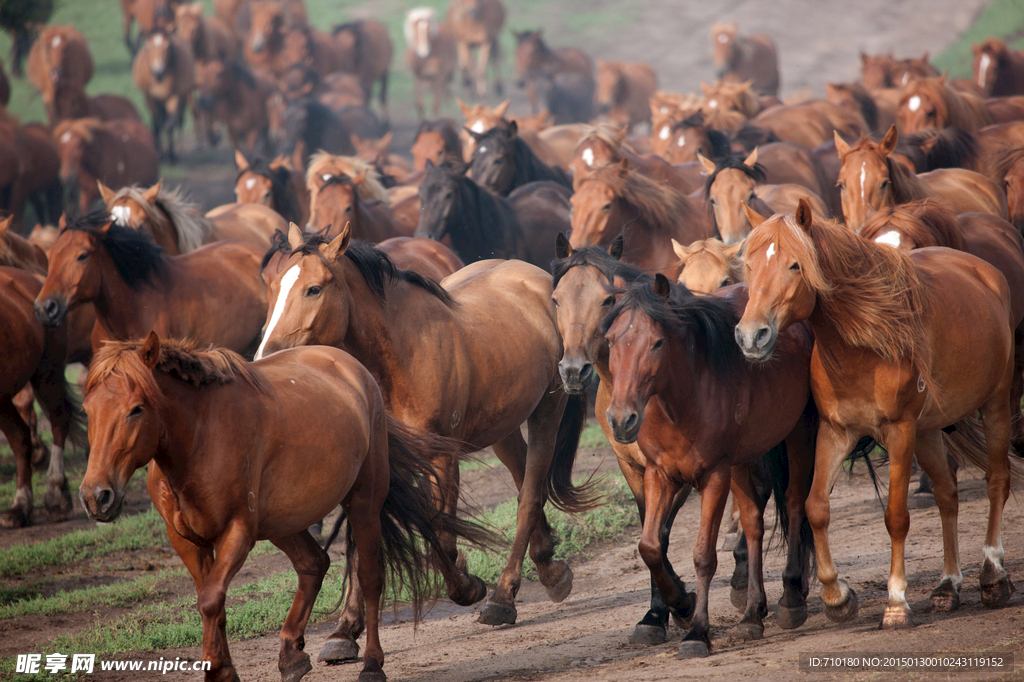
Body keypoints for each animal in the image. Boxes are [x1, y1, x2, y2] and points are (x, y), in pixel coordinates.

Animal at [80, 331, 495, 682]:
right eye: (87, 409)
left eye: (136, 409)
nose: (96, 495)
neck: (200, 437)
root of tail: (353, 368)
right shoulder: (187, 541)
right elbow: (211, 602)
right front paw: (226, 667)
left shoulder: (238, 531)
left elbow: (211, 600)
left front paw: (220, 671)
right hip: (284, 522)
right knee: (314, 564)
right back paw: (292, 655)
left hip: (363, 502)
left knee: (370, 578)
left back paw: (371, 664)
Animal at [133, 30, 195, 163]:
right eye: (148, 47)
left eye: (167, 46)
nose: (158, 72)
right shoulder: (151, 98)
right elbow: (158, 124)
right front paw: (160, 154)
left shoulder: (174, 97)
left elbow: (169, 125)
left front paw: (171, 155)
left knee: (174, 121)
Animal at [255, 225, 592, 657]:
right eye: (276, 285)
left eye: (313, 289)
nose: (265, 357)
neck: (401, 355)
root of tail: (536, 277)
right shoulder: (374, 465)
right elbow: (360, 544)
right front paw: (344, 631)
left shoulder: (441, 460)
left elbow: (440, 537)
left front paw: (468, 586)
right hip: (502, 427)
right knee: (522, 484)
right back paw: (549, 567)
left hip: (547, 411)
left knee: (530, 497)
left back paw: (503, 597)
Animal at [603, 271, 814, 657]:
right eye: (611, 341)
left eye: (657, 343)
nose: (621, 419)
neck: (684, 399)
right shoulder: (659, 475)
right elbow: (650, 546)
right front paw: (680, 605)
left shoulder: (714, 476)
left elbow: (704, 555)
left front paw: (698, 631)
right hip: (742, 461)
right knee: (753, 521)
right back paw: (752, 614)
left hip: (798, 432)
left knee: (794, 503)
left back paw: (791, 597)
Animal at [736, 200, 1020, 631]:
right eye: (750, 265)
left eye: (795, 265)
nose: (752, 336)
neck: (862, 349)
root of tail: (984, 270)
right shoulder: (836, 432)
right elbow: (816, 508)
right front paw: (837, 597)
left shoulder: (899, 432)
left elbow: (896, 517)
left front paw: (896, 602)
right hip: (929, 432)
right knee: (947, 495)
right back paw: (947, 586)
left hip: (995, 404)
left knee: (997, 480)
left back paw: (992, 574)